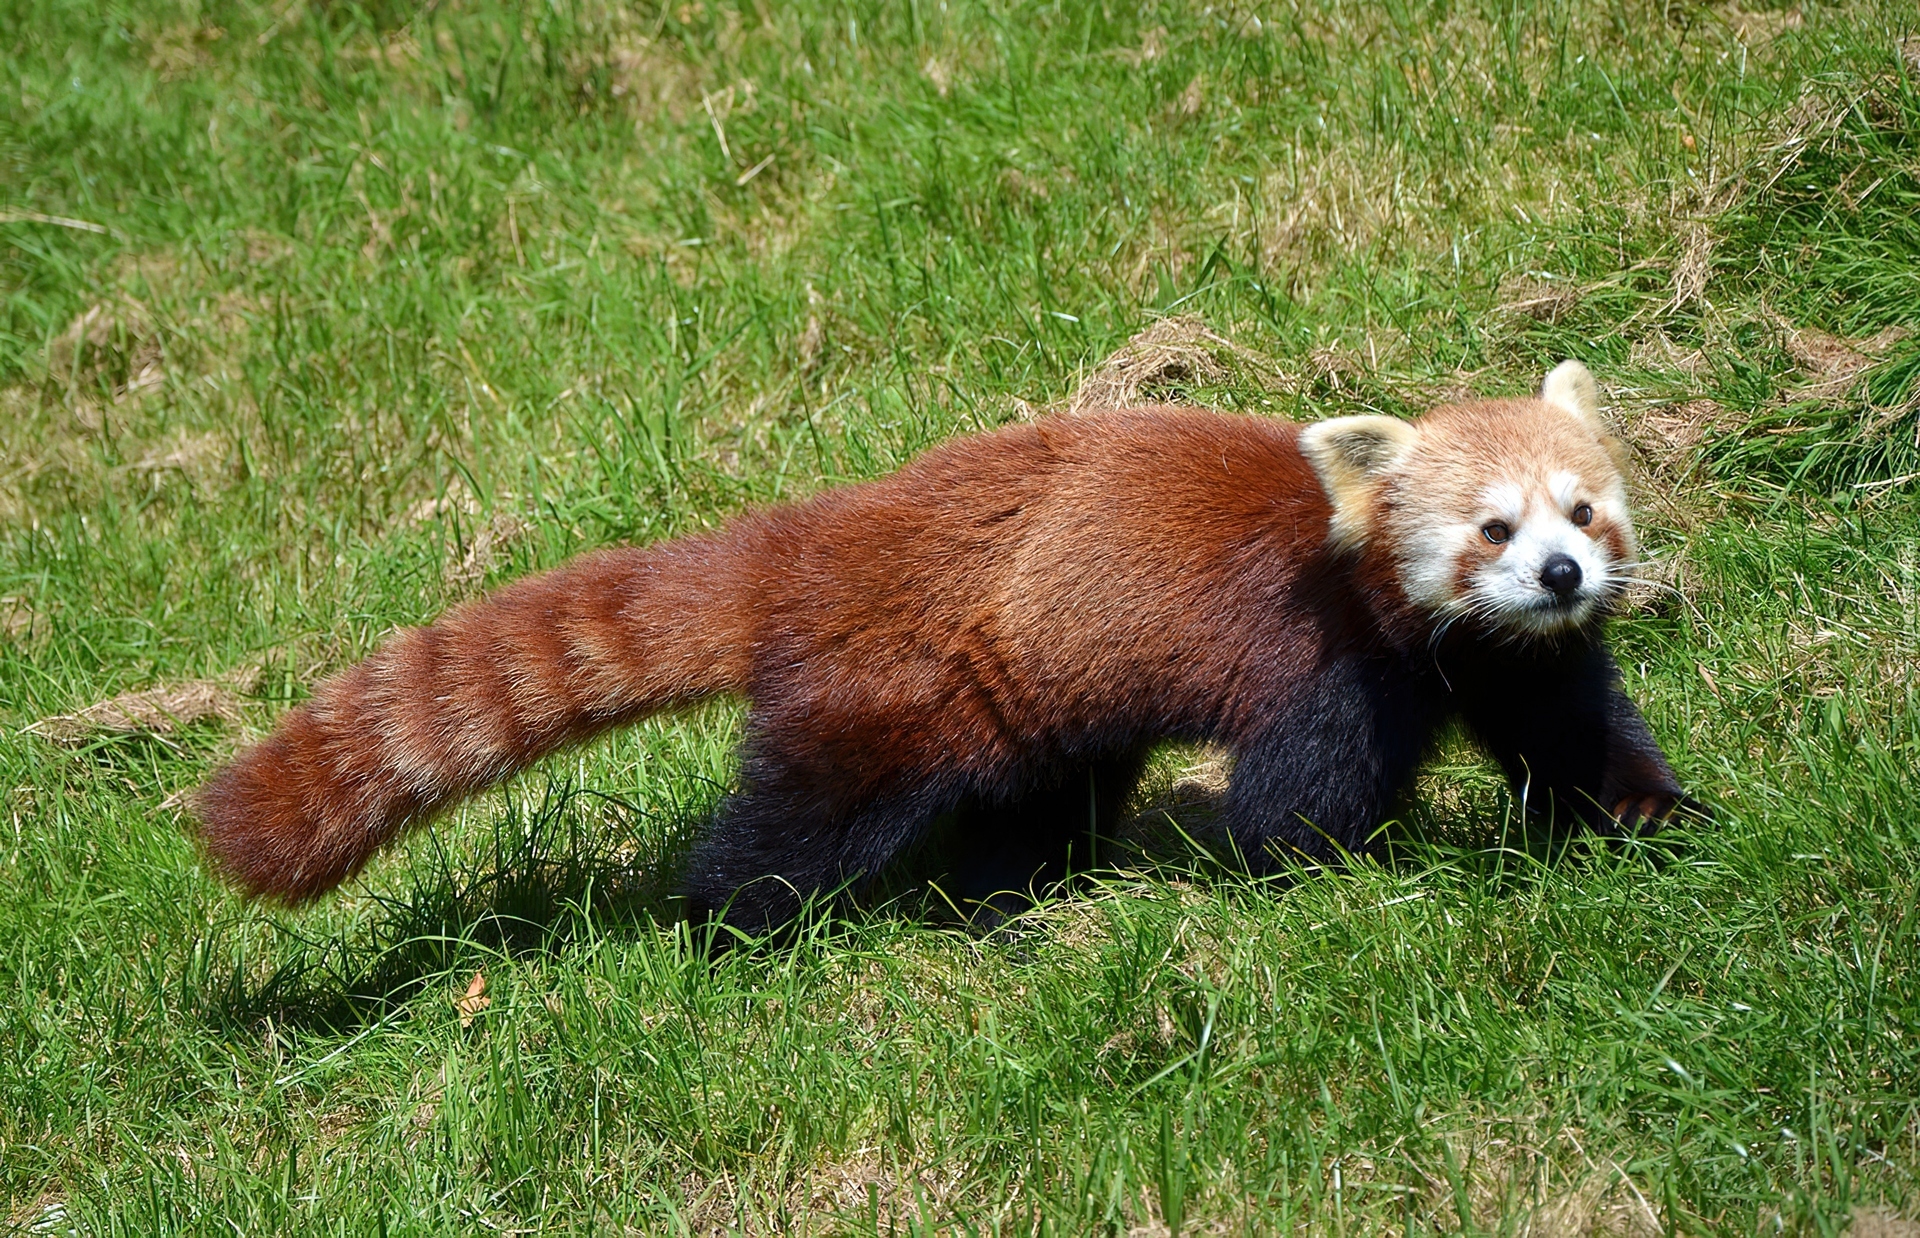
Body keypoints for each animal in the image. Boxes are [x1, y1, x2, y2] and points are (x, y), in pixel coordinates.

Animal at [191, 357, 1697, 928]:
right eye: (1491, 527)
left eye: (1581, 508)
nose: (1564, 572)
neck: (1421, 630)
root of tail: (824, 535)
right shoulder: (1323, 664)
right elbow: (1294, 798)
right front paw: (1326, 878)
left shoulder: (1513, 657)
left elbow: (1574, 731)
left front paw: (1648, 818)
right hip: (890, 692)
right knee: (801, 821)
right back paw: (723, 930)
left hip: (1029, 692)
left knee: (1032, 800)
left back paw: (1011, 899)